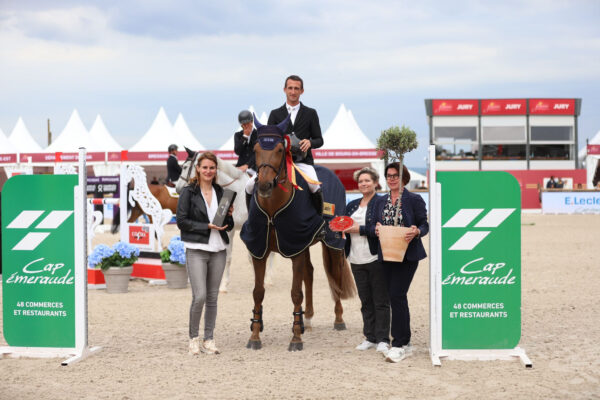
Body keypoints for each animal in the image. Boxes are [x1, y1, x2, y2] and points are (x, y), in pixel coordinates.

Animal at [240, 115, 356, 350]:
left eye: (279, 149)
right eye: (256, 149)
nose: (264, 186)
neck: (273, 209)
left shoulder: (295, 249)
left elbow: (295, 292)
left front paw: (295, 338)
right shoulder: (263, 250)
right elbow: (258, 292)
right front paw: (255, 335)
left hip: (332, 241)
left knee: (336, 276)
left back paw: (338, 319)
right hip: (305, 242)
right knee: (309, 273)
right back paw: (308, 319)